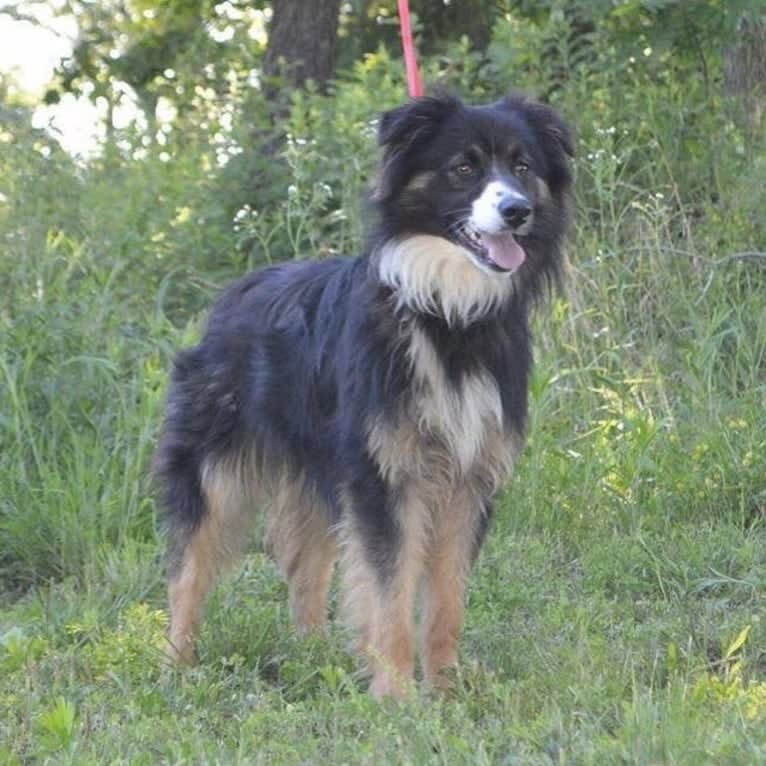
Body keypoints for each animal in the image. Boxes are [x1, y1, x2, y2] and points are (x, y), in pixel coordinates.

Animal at [158, 93, 576, 700]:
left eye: (523, 167)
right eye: (464, 167)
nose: (517, 211)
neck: (449, 315)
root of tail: (234, 293)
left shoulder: (468, 476)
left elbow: (446, 597)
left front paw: (446, 688)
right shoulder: (384, 475)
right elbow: (390, 592)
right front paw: (396, 695)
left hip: (317, 470)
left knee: (305, 563)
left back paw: (312, 656)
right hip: (215, 462)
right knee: (189, 564)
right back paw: (177, 664)